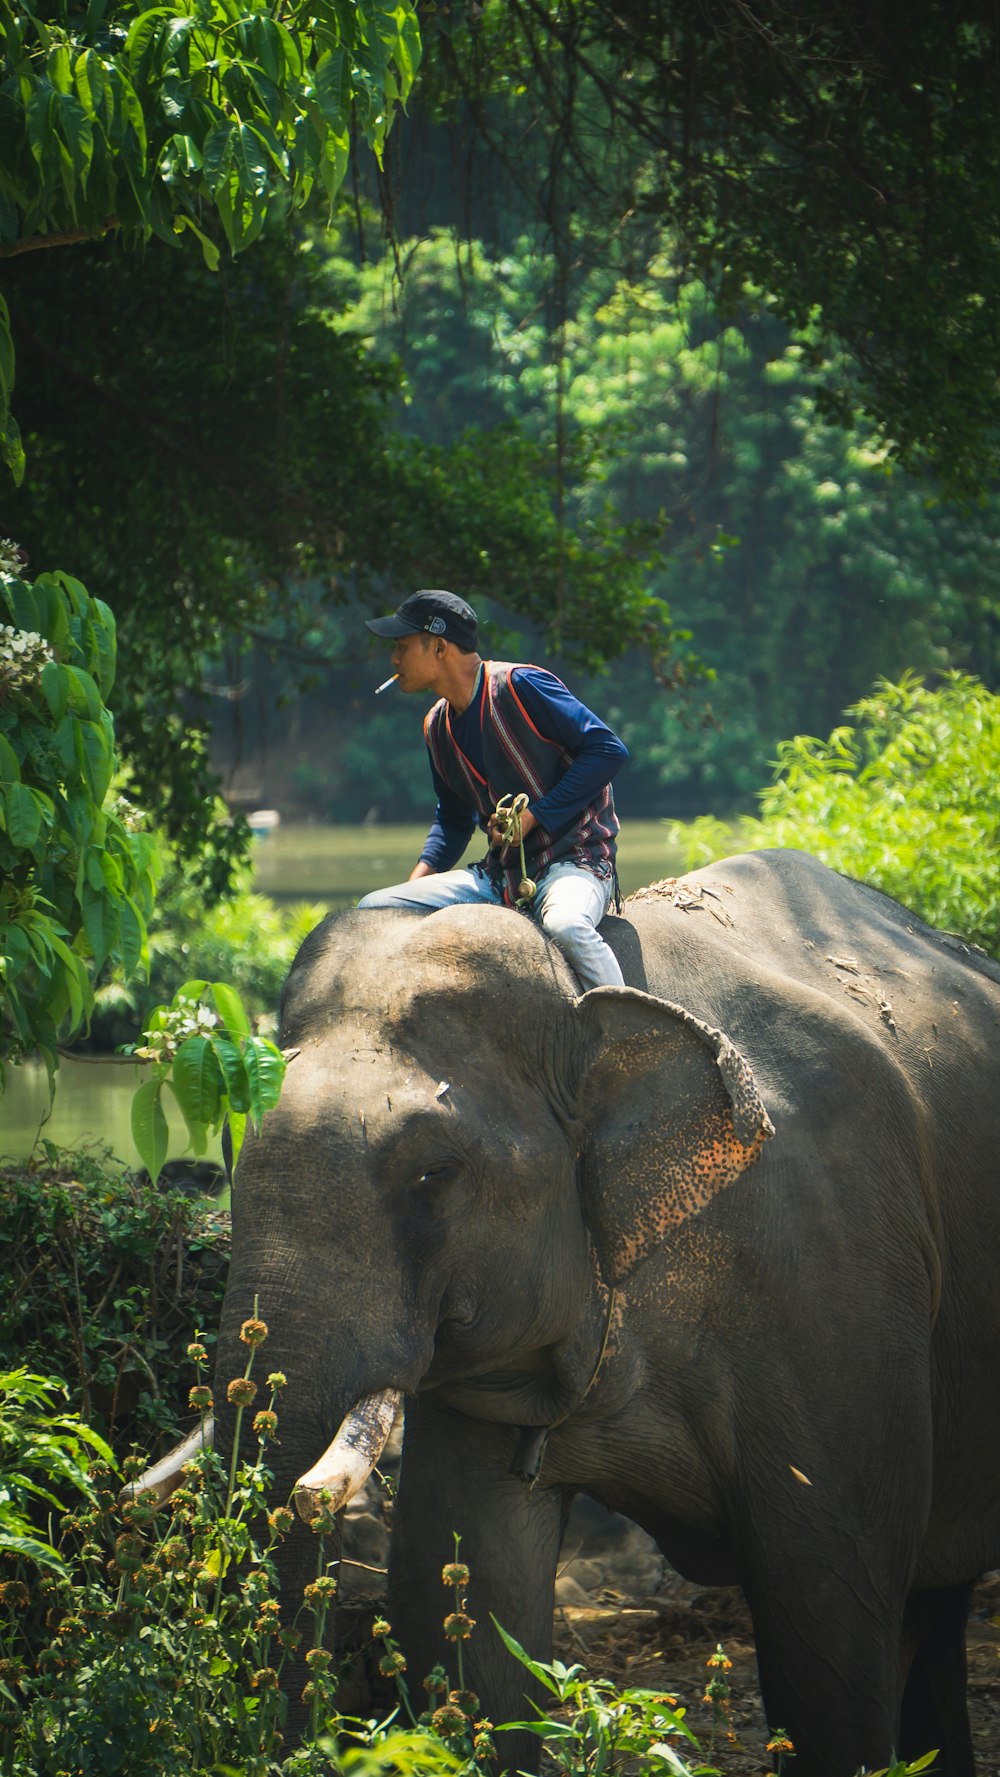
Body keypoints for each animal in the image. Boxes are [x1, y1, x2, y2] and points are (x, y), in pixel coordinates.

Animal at [138, 845, 1000, 1777]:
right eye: (231, 1157)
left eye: (435, 1174)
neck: (577, 994)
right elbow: (469, 1601)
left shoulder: (833, 1276)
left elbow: (829, 1615)